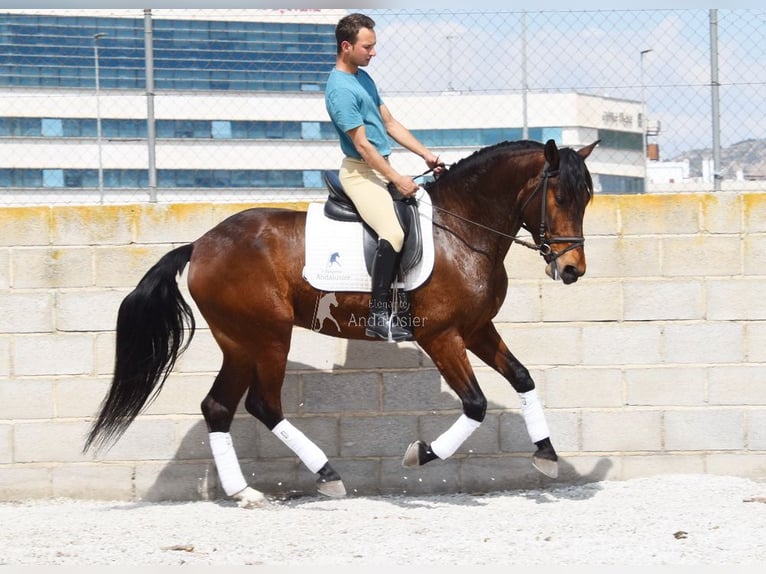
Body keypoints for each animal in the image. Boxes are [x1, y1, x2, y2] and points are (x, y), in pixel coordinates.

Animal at [84, 138, 599, 508]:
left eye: (587, 198)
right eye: (558, 196)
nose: (573, 269)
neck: (462, 230)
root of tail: (200, 245)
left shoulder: (476, 329)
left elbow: (522, 377)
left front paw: (547, 455)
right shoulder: (441, 336)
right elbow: (474, 404)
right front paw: (421, 453)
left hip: (240, 342)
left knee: (218, 407)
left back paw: (245, 493)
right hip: (269, 337)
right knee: (264, 405)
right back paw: (326, 475)